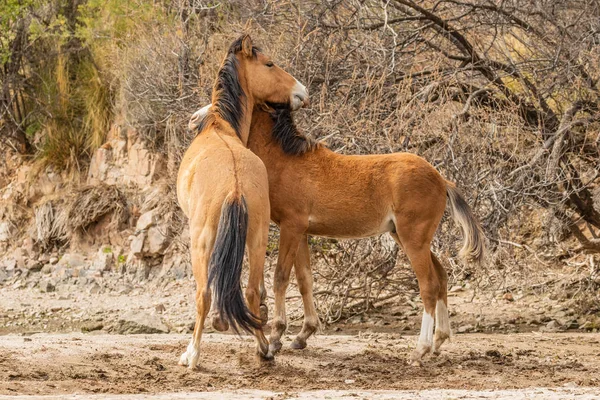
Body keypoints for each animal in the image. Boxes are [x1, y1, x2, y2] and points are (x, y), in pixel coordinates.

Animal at [177, 36, 310, 368]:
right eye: (270, 64)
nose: (302, 92)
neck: (219, 125)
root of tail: (235, 186)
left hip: (202, 242)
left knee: (203, 294)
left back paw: (192, 354)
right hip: (258, 239)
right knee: (251, 291)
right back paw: (264, 349)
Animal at [190, 103, 486, 366]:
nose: (193, 119)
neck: (287, 162)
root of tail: (441, 179)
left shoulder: (291, 226)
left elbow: (281, 278)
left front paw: (275, 340)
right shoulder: (302, 232)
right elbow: (305, 279)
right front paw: (301, 336)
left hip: (413, 239)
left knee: (429, 285)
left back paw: (420, 350)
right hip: (406, 238)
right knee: (442, 276)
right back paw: (438, 341)